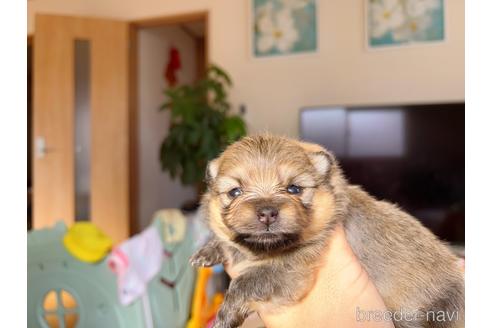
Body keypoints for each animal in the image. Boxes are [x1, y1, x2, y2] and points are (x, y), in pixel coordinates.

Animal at [189, 134, 466, 328]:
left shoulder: (290, 271)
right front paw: (210, 250)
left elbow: (244, 283)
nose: (267, 212)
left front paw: (225, 315)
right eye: (235, 192)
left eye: (294, 189)